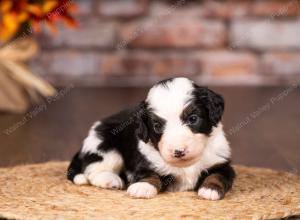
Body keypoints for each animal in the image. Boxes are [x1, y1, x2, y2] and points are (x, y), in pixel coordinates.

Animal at [67, 78, 234, 200]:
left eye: (193, 118)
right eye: (157, 126)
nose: (178, 151)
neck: (185, 165)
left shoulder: (221, 162)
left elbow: (217, 175)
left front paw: (210, 189)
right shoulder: (145, 161)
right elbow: (149, 174)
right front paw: (142, 187)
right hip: (105, 146)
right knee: (93, 170)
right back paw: (111, 180)